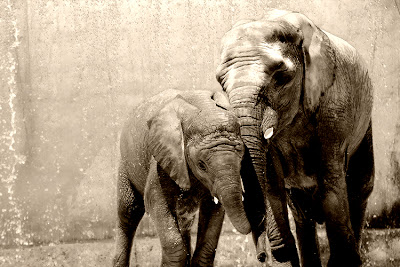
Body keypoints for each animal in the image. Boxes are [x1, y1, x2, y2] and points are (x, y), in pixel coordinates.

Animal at [112, 90, 250, 267]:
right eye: (201, 165)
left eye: (242, 158)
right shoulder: (161, 157)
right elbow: (155, 200)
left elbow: (214, 211)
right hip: (126, 163)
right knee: (129, 211)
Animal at [216, 8, 376, 267]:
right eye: (221, 84)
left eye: (281, 77)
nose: (262, 256)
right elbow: (272, 182)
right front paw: (285, 253)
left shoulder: (334, 109)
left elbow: (331, 183)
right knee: (301, 209)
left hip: (365, 121)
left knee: (359, 186)